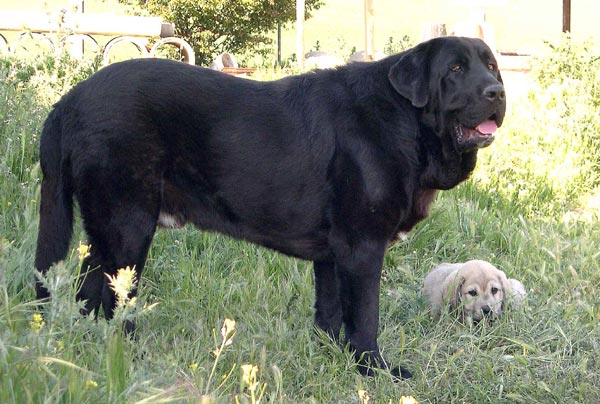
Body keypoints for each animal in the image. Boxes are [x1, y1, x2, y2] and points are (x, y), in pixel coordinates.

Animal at [35, 36, 506, 378]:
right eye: (455, 70)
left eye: (491, 66)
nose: (497, 92)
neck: (404, 122)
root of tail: (69, 101)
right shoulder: (363, 248)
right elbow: (365, 317)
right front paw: (374, 370)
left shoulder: (333, 254)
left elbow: (330, 312)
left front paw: (328, 358)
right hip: (127, 227)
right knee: (109, 296)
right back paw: (127, 353)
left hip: (109, 230)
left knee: (88, 293)